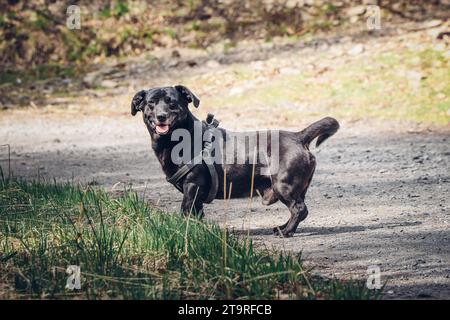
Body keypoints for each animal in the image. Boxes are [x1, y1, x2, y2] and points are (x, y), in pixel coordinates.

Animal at [132, 85, 340, 238]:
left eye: (172, 103)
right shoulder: (195, 194)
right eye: (151, 103)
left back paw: (286, 232)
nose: (161, 116)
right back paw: (283, 227)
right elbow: (197, 214)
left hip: (284, 186)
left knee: (299, 209)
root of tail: (299, 137)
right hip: (296, 188)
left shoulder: (192, 186)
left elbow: (186, 211)